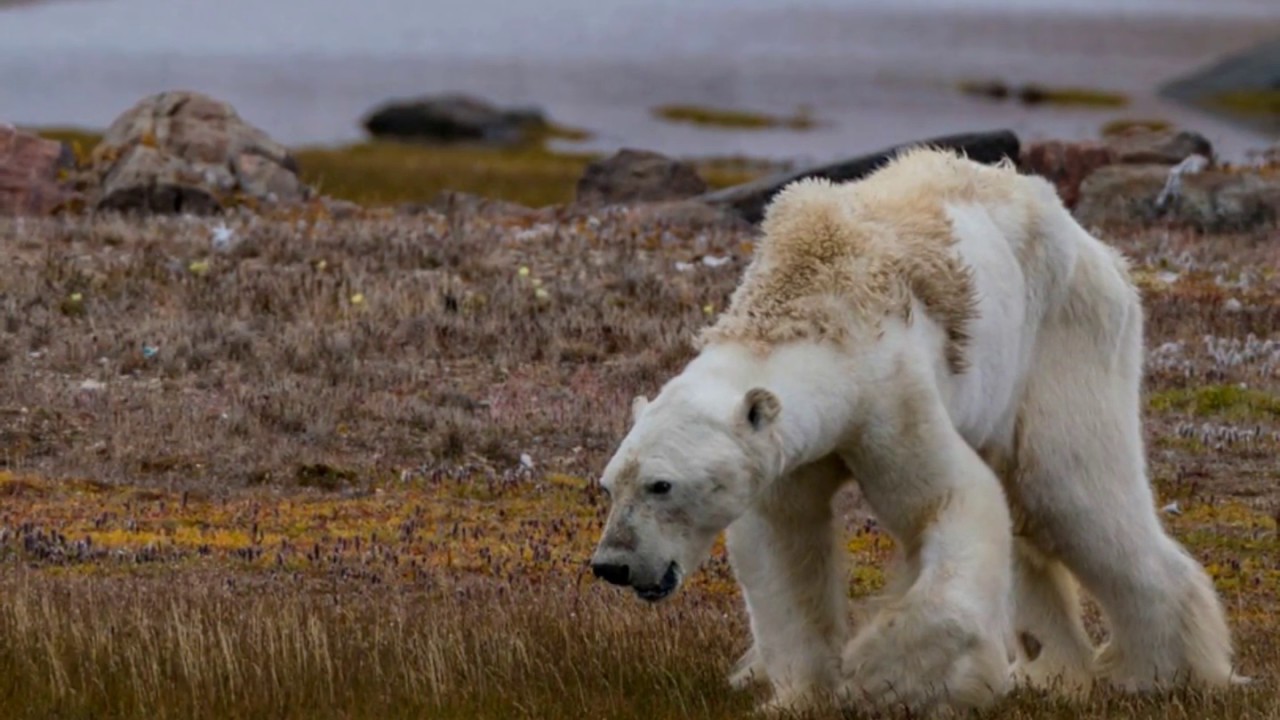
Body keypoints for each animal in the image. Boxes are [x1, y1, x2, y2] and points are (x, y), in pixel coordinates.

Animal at [588, 146, 1240, 716]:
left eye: (662, 485)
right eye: (610, 484)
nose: (611, 565)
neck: (810, 303)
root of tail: (1097, 247)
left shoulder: (889, 393)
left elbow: (950, 501)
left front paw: (883, 676)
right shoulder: (788, 453)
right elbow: (783, 547)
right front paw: (799, 695)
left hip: (1063, 338)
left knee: (1071, 492)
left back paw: (1162, 673)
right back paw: (1053, 671)